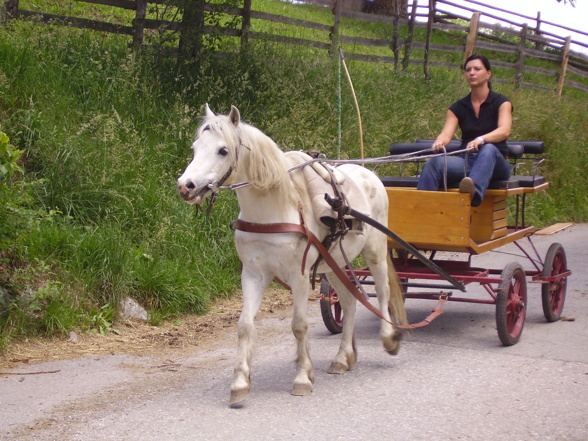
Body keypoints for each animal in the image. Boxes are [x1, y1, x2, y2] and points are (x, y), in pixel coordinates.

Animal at [177, 105, 406, 404]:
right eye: (195, 148)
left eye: (223, 150)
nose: (186, 186)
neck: (272, 209)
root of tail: (369, 174)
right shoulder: (253, 274)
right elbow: (245, 326)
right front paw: (240, 383)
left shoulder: (298, 276)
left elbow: (299, 325)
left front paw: (301, 379)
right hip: (333, 264)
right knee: (349, 302)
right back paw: (343, 358)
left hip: (375, 251)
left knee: (382, 291)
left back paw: (389, 338)